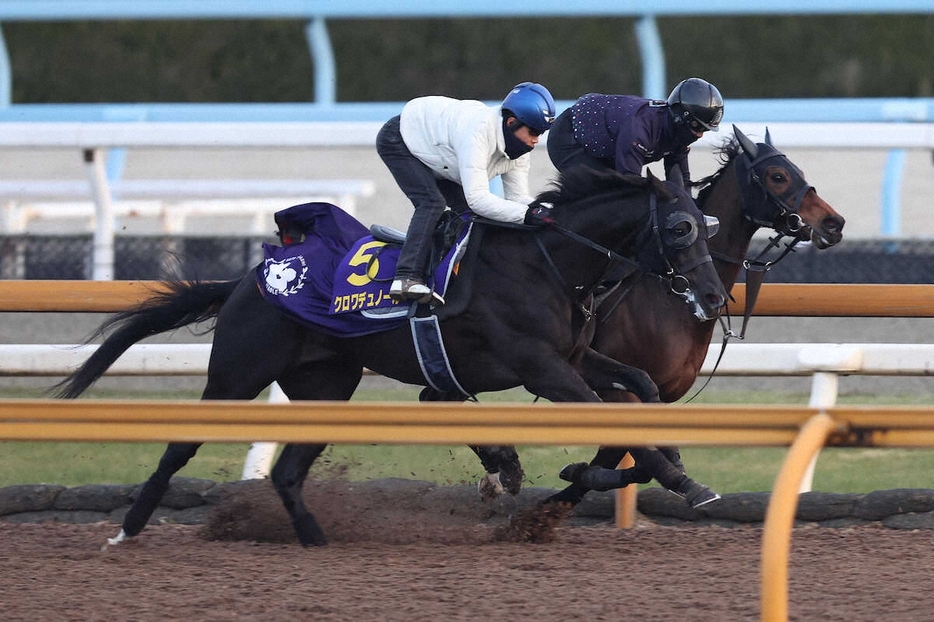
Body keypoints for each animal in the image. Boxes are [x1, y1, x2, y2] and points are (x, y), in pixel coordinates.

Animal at [56, 168, 732, 548]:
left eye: (707, 223)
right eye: (680, 228)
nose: (712, 295)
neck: (547, 262)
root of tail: (249, 279)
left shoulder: (575, 355)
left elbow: (641, 387)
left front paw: (628, 467)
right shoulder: (542, 366)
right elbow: (616, 418)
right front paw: (686, 483)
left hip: (327, 385)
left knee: (287, 472)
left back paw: (315, 538)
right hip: (237, 373)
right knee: (179, 447)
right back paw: (128, 529)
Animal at [468, 125, 848, 508]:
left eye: (798, 171)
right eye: (778, 176)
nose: (834, 223)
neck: (671, 298)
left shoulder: (654, 395)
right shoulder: (610, 389)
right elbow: (618, 450)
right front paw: (558, 490)